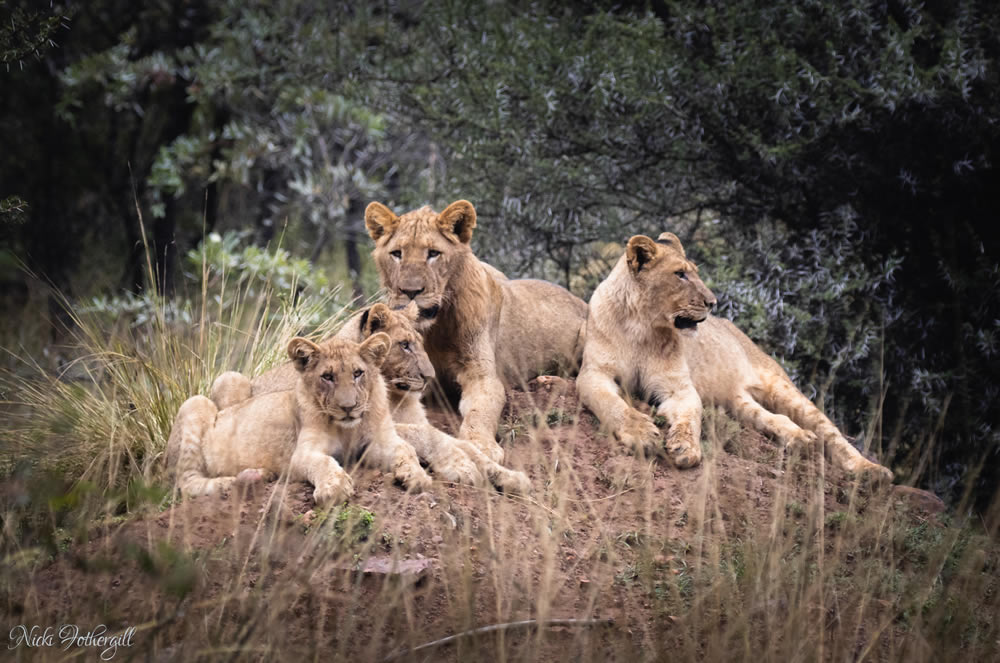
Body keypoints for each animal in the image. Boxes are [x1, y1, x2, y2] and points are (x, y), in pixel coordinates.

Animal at [166, 334, 432, 506]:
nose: (348, 407)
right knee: (186, 483)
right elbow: (324, 462)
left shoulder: (378, 442)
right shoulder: (301, 454)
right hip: (195, 403)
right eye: (327, 377)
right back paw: (229, 483)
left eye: (358, 373)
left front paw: (418, 476)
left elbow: (406, 449)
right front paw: (333, 489)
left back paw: (258, 475)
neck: (347, 429)